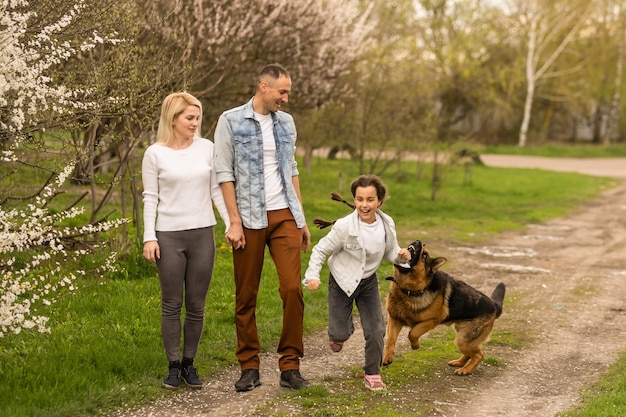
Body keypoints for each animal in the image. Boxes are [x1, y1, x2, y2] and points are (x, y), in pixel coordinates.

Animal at [382, 239, 504, 376]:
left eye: (424, 255)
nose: (418, 241)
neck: (409, 290)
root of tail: (494, 304)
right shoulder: (394, 319)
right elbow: (390, 339)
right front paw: (387, 357)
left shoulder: (432, 321)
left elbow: (412, 333)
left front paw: (415, 345)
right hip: (462, 336)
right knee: (472, 353)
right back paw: (459, 363)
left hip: (462, 340)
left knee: (479, 354)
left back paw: (465, 370)